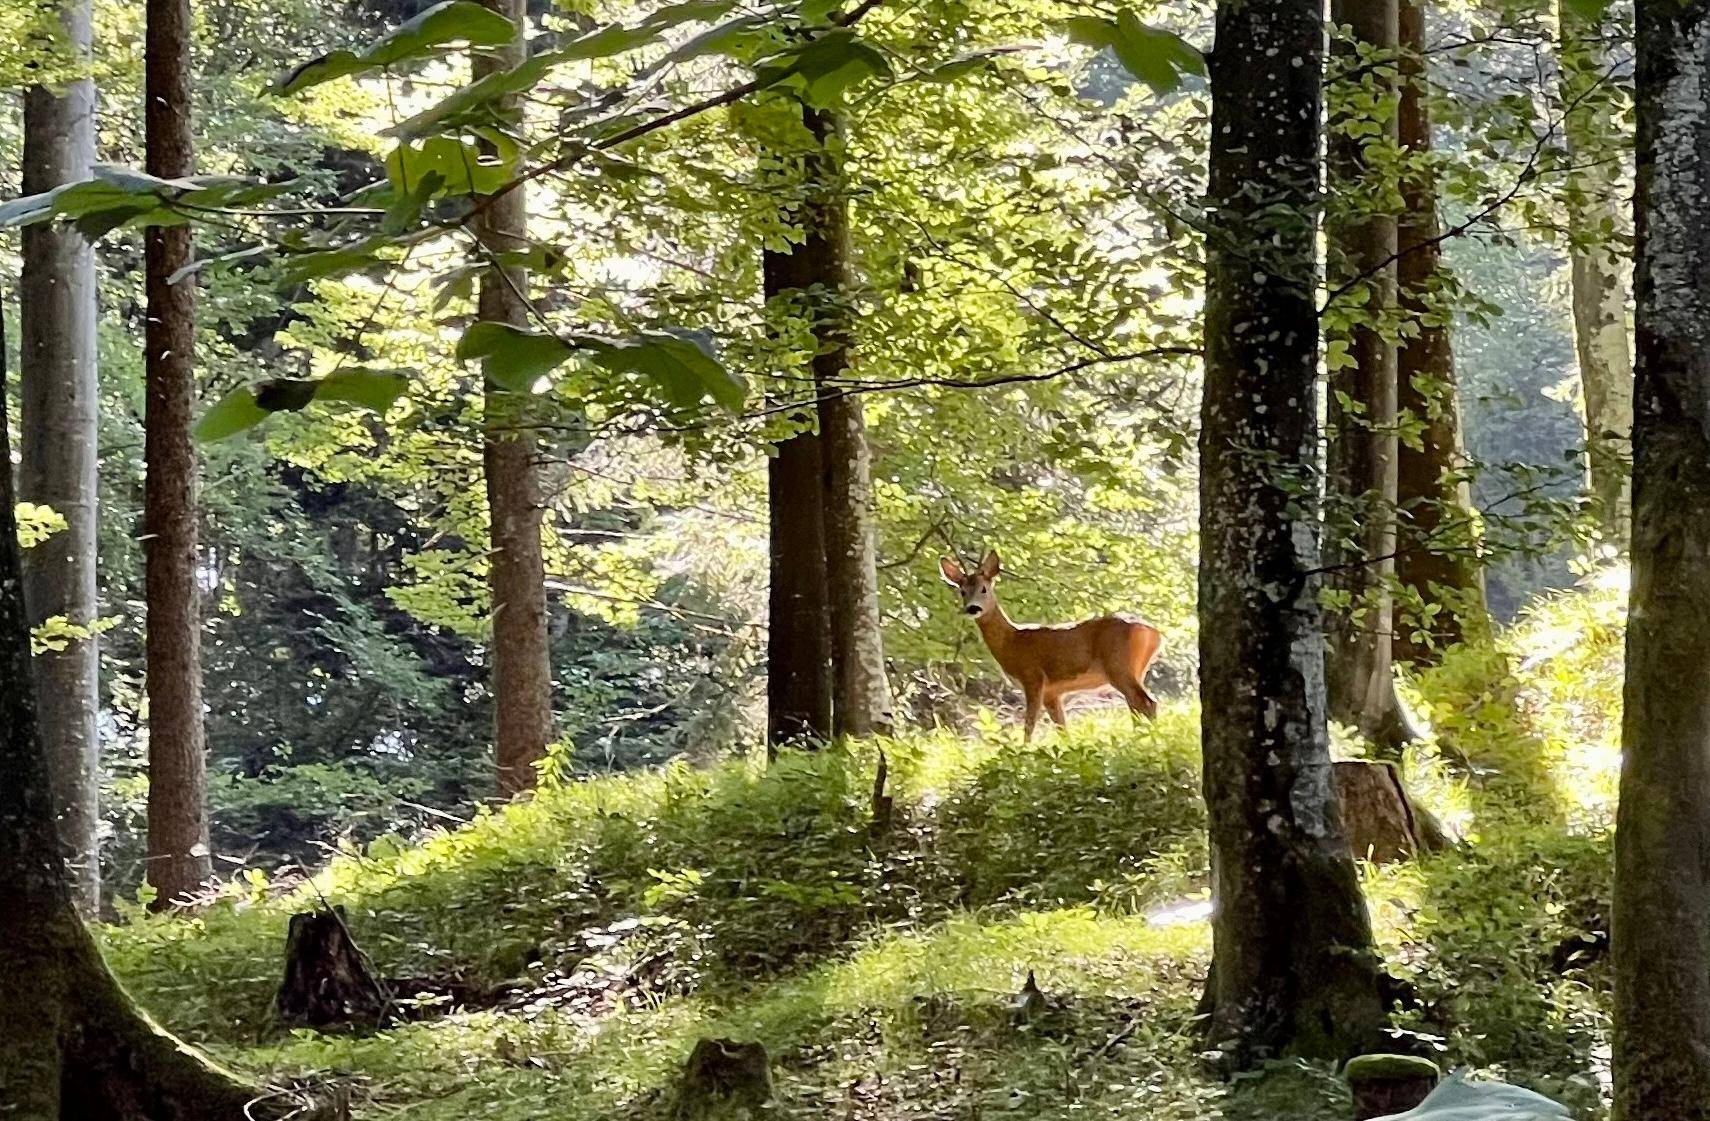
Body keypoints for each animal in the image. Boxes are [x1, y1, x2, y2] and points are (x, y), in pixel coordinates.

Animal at [939, 549, 1161, 742]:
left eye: (984, 589)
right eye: (962, 591)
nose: (972, 608)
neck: (1011, 642)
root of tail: (1153, 632)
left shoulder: (1033, 677)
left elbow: (1029, 724)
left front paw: (1023, 752)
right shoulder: (1052, 692)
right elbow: (1062, 728)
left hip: (1118, 666)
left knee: (1147, 703)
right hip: (1136, 670)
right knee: (1136, 706)